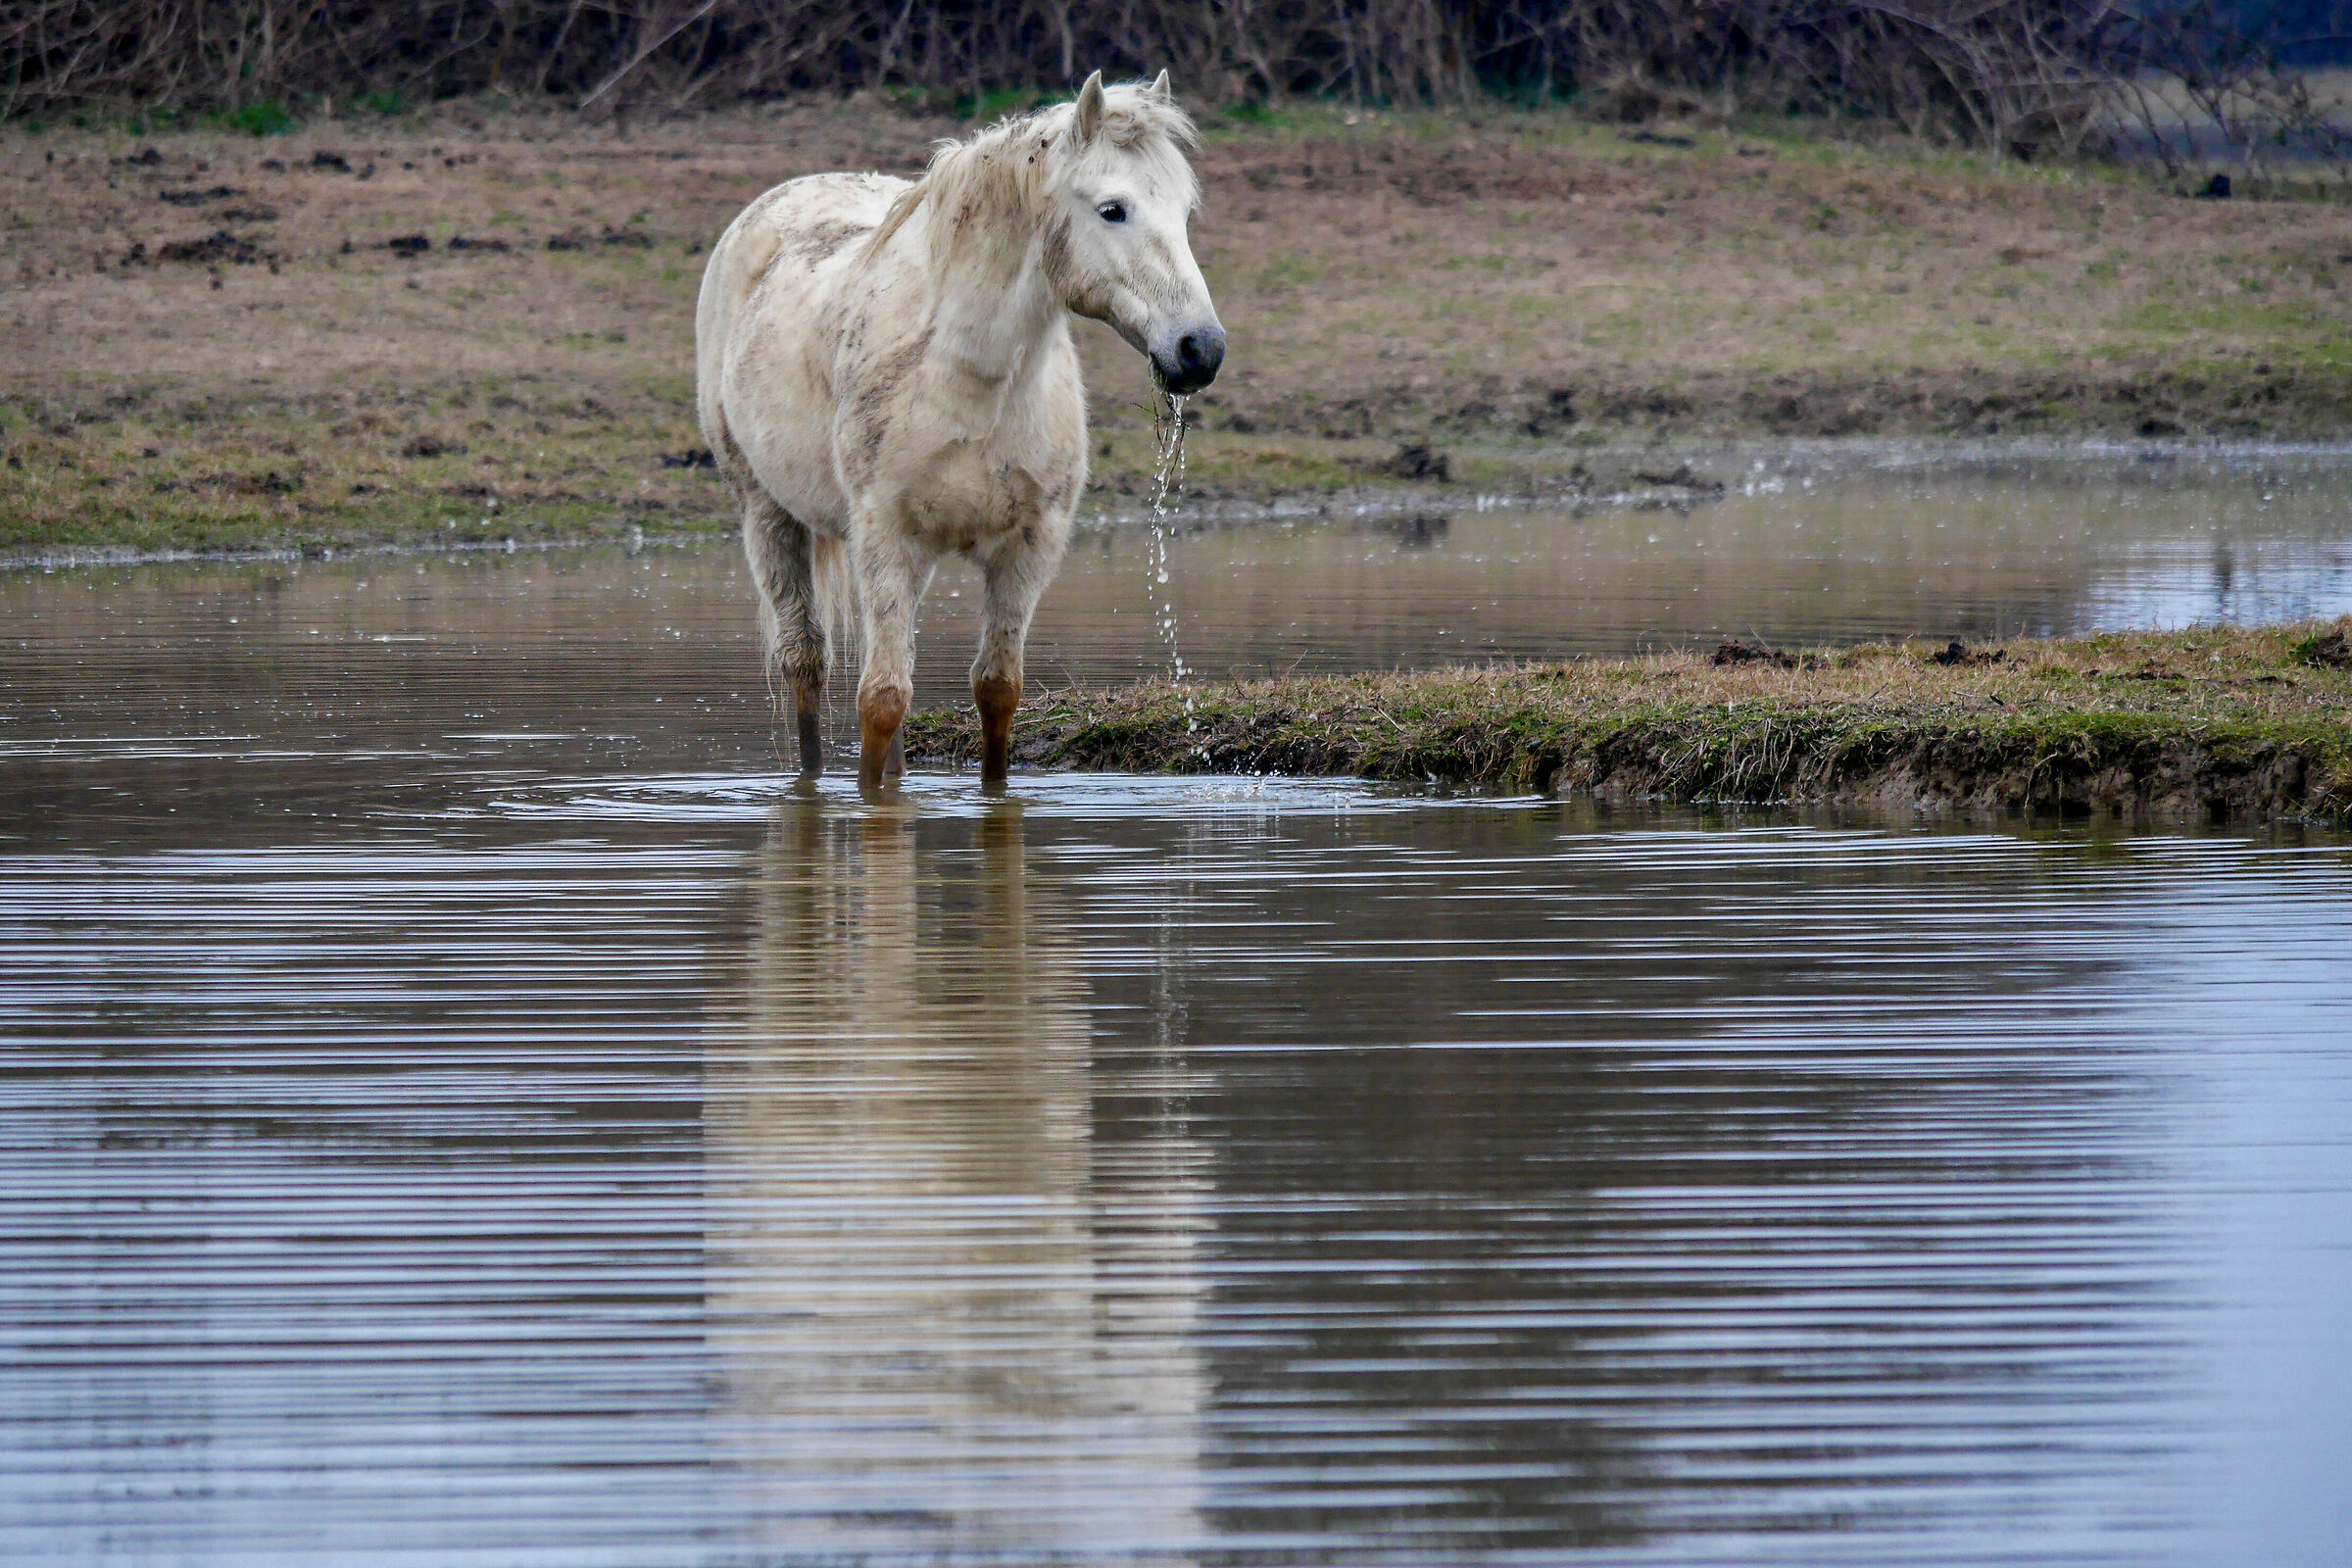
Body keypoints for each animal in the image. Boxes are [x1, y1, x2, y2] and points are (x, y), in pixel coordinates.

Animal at [696, 71, 1225, 788]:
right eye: (1113, 209)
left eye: (1184, 212)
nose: (1201, 349)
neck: (974, 378)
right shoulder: (886, 539)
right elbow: (881, 700)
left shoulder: (1028, 548)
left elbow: (996, 691)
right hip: (767, 516)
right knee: (806, 664)